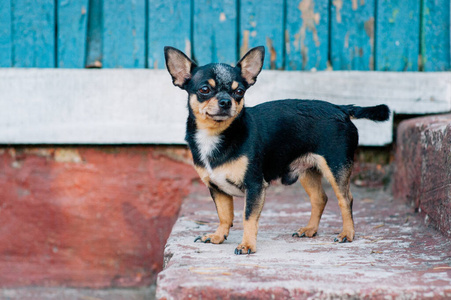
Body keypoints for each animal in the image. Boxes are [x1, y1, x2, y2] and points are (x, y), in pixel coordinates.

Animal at [164, 45, 390, 254]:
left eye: (239, 92)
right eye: (204, 90)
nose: (226, 101)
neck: (217, 135)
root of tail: (340, 109)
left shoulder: (254, 186)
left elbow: (248, 217)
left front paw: (247, 245)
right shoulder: (217, 189)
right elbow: (224, 215)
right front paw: (218, 236)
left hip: (336, 167)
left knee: (345, 199)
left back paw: (347, 233)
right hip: (307, 171)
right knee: (320, 198)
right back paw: (310, 229)